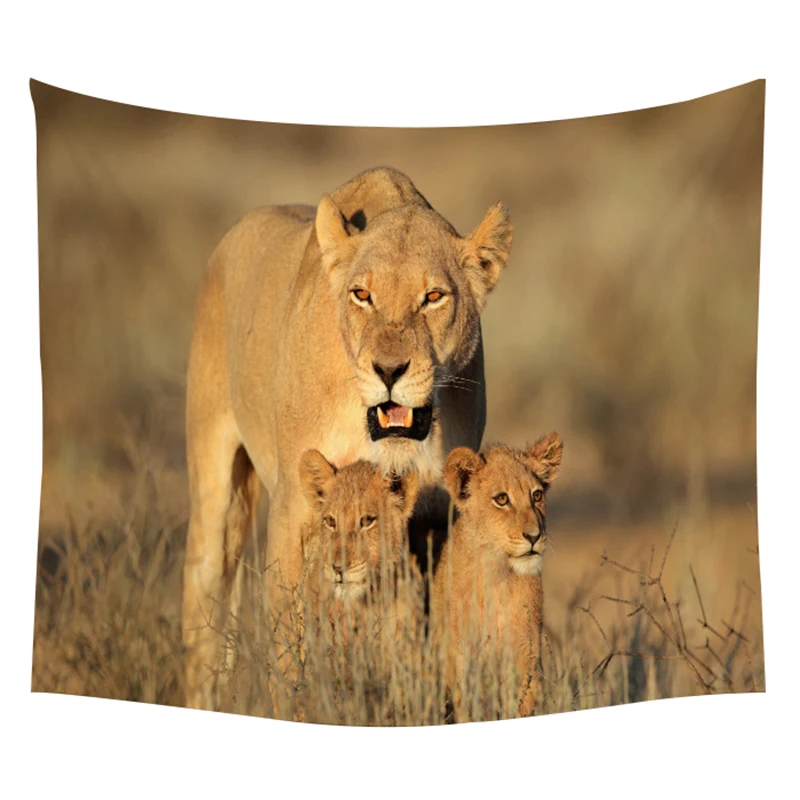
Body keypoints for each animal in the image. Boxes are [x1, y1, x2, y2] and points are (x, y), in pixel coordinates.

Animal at [182, 167, 513, 709]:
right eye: (362, 295)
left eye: (433, 297)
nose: (389, 370)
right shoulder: (295, 509)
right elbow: (288, 641)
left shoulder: (435, 519)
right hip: (215, 493)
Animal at [431, 432, 563, 722]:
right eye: (502, 499)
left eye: (537, 495)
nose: (535, 536)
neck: (497, 576)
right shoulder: (462, 659)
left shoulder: (526, 656)